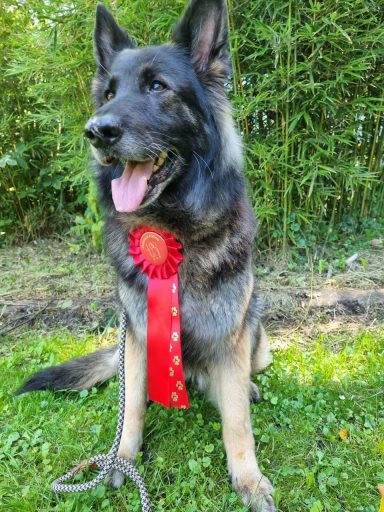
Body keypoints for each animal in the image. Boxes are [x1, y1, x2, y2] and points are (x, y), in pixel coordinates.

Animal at [17, 2, 276, 510]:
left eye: (158, 87)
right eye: (108, 94)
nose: (96, 131)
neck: (173, 230)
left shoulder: (231, 336)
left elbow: (237, 420)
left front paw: (248, 479)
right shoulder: (135, 334)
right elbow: (132, 405)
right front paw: (121, 460)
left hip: (255, 339)